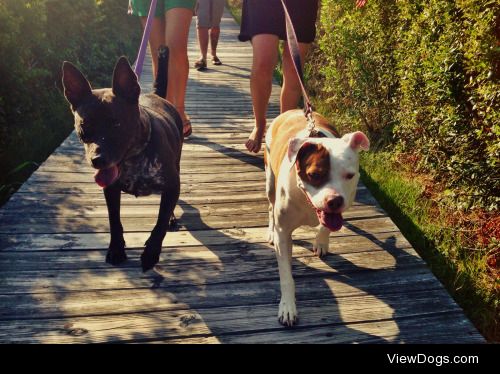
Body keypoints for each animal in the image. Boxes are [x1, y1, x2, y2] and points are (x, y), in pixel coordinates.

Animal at [60, 49, 182, 272]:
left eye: (116, 123)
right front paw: (116, 249)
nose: (97, 160)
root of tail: (156, 95)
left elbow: (160, 223)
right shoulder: (111, 190)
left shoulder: (172, 186)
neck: (135, 157)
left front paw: (151, 253)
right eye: (84, 125)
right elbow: (114, 220)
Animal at [264, 109, 370, 326]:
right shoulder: (283, 233)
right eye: (314, 174)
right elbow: (286, 276)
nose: (335, 200)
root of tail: (292, 111)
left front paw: (321, 242)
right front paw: (288, 307)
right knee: (270, 206)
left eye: (349, 175)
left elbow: (326, 226)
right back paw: (269, 231)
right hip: (269, 181)